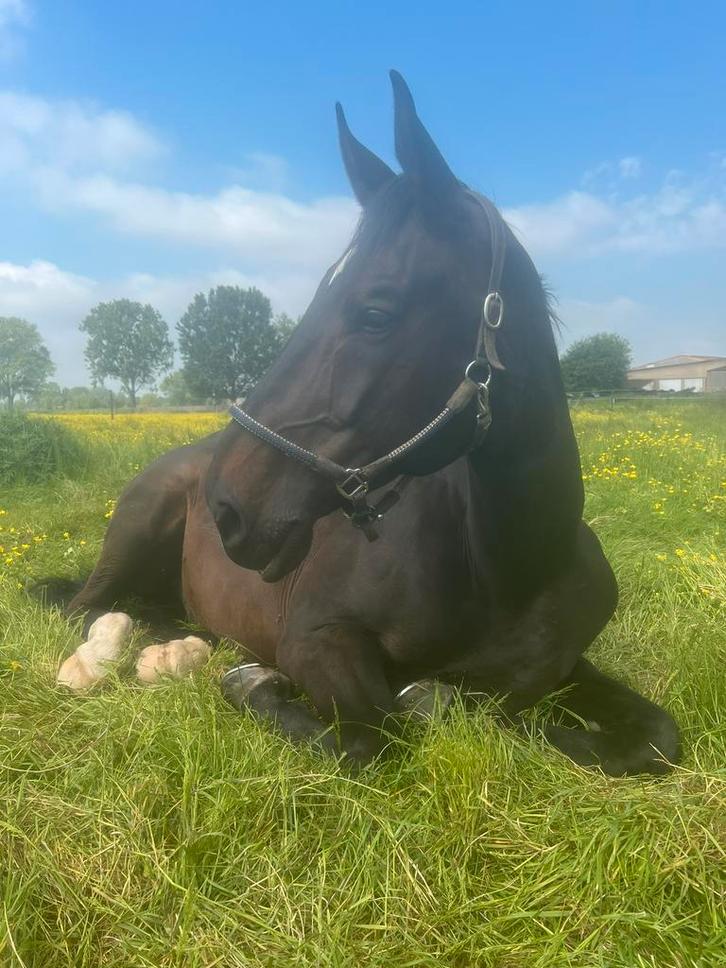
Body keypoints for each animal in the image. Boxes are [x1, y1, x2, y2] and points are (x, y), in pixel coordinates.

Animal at [53, 71, 680, 774]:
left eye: (376, 312)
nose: (227, 507)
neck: (507, 569)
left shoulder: (566, 668)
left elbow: (653, 736)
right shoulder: (317, 639)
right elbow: (371, 739)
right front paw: (253, 683)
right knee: (90, 608)